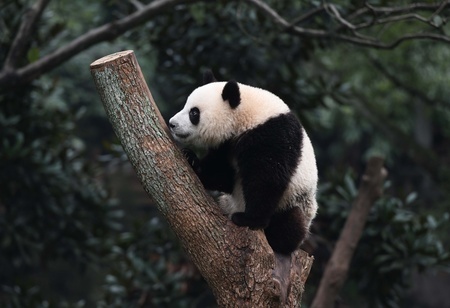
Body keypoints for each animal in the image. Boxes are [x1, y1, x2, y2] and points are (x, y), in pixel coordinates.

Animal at [170, 71, 320, 255]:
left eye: (194, 113)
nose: (172, 124)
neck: (245, 114)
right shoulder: (226, 144)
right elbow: (222, 176)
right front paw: (190, 158)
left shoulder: (273, 135)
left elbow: (267, 179)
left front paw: (249, 219)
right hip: (228, 203)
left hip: (296, 201)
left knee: (292, 221)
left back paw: (279, 240)